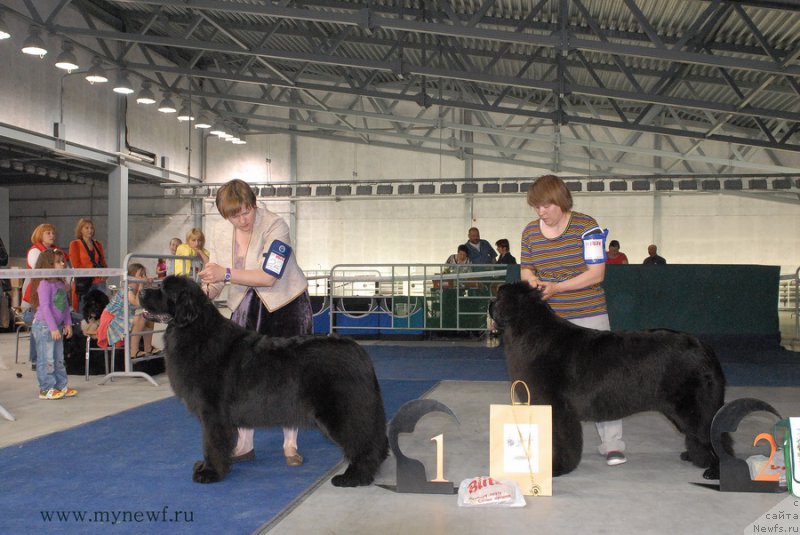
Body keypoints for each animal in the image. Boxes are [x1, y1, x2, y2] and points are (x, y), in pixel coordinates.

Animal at [141, 274, 390, 488]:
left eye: (163, 289)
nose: (142, 291)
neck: (194, 329)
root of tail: (358, 350)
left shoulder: (212, 414)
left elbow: (211, 444)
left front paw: (209, 472)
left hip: (341, 412)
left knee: (362, 442)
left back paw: (354, 477)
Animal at [490, 282, 728, 480]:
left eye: (500, 296)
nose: (490, 304)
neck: (529, 331)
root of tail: (704, 347)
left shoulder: (559, 409)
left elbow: (561, 440)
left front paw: (558, 468)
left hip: (694, 408)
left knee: (714, 434)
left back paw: (715, 472)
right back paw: (695, 457)